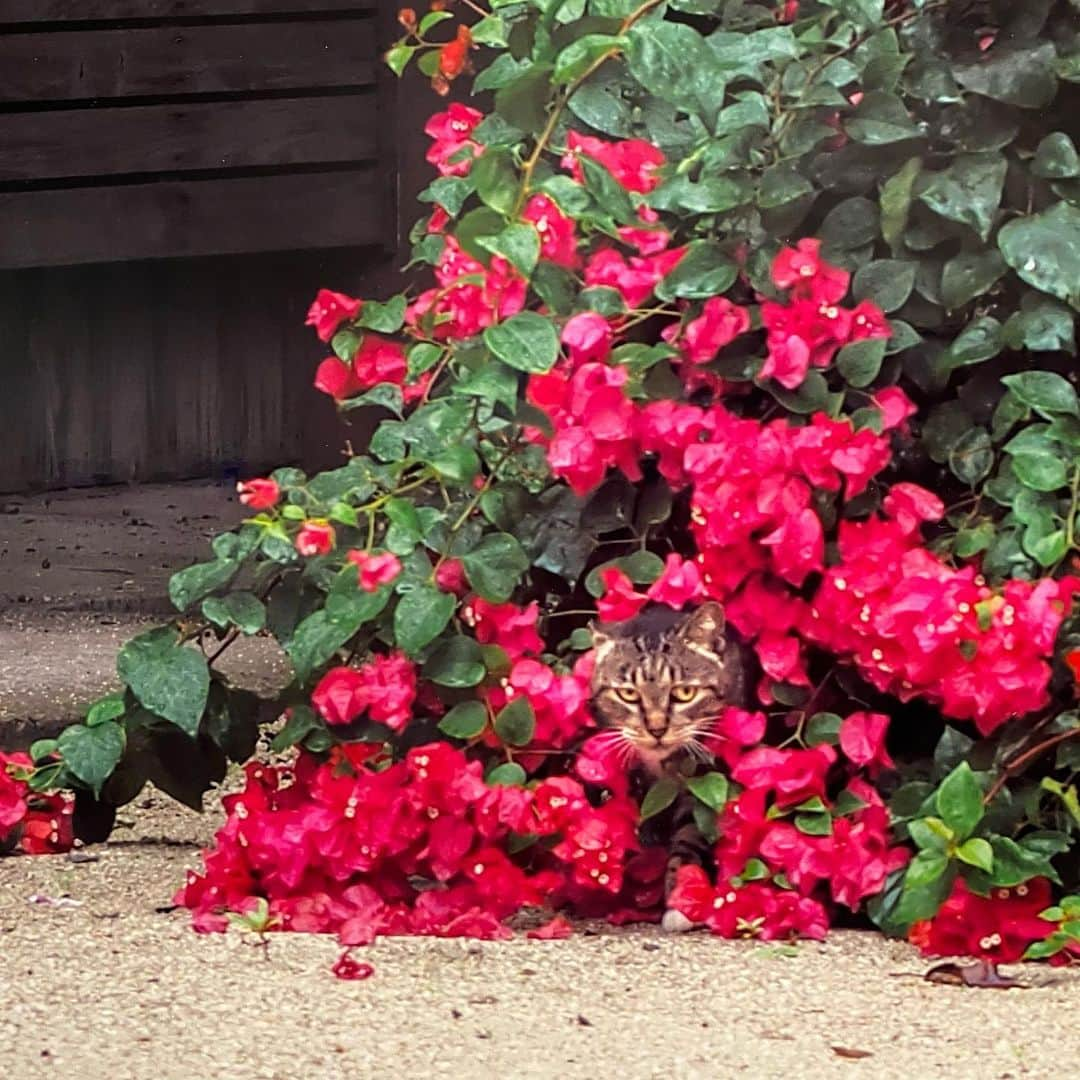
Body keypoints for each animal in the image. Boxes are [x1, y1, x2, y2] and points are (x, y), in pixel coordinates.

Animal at [587, 604, 747, 933]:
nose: (657, 729)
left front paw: (680, 901)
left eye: (684, 693)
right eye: (628, 694)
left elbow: (689, 837)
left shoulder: (702, 783)